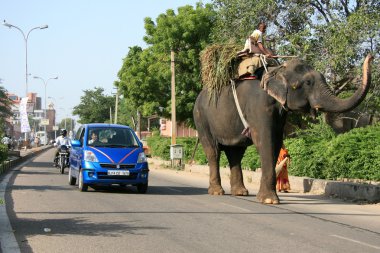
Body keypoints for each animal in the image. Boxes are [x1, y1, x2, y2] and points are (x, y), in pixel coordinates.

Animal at [193, 54, 374, 205]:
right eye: (308, 83)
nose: (370, 56)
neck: (277, 70)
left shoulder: (280, 114)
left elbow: (276, 142)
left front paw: (268, 198)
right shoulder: (259, 106)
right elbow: (265, 141)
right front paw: (269, 201)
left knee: (236, 152)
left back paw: (240, 193)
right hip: (201, 119)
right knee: (213, 151)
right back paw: (217, 192)